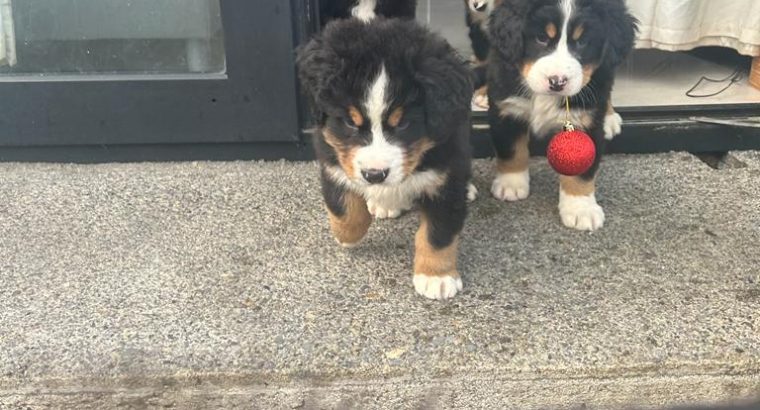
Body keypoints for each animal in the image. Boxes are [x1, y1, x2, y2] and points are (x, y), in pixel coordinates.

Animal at [298, 19, 472, 300]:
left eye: (403, 124)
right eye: (350, 122)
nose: (374, 175)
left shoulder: (447, 176)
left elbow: (438, 232)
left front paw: (436, 277)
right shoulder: (332, 157)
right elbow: (344, 209)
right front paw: (346, 235)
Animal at [486, 0, 636, 231]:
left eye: (582, 41)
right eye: (541, 38)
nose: (557, 81)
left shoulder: (587, 121)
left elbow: (581, 172)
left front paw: (581, 208)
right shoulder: (508, 108)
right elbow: (511, 150)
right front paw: (510, 183)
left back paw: (610, 118)